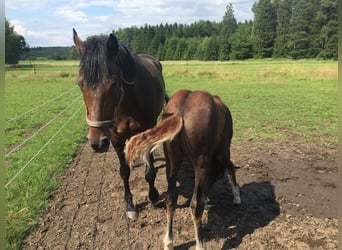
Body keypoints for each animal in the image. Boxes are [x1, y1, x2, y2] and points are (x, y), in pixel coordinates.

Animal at [73, 28, 167, 218]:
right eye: (80, 84)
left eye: (114, 83)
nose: (97, 142)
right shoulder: (115, 138)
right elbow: (124, 172)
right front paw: (130, 205)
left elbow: (149, 172)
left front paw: (153, 196)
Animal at [125, 89, 240, 248]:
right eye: (216, 177)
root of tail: (180, 113)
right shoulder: (222, 152)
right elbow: (230, 167)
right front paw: (236, 196)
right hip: (202, 162)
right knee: (195, 206)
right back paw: (200, 245)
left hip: (172, 164)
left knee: (170, 200)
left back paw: (168, 242)